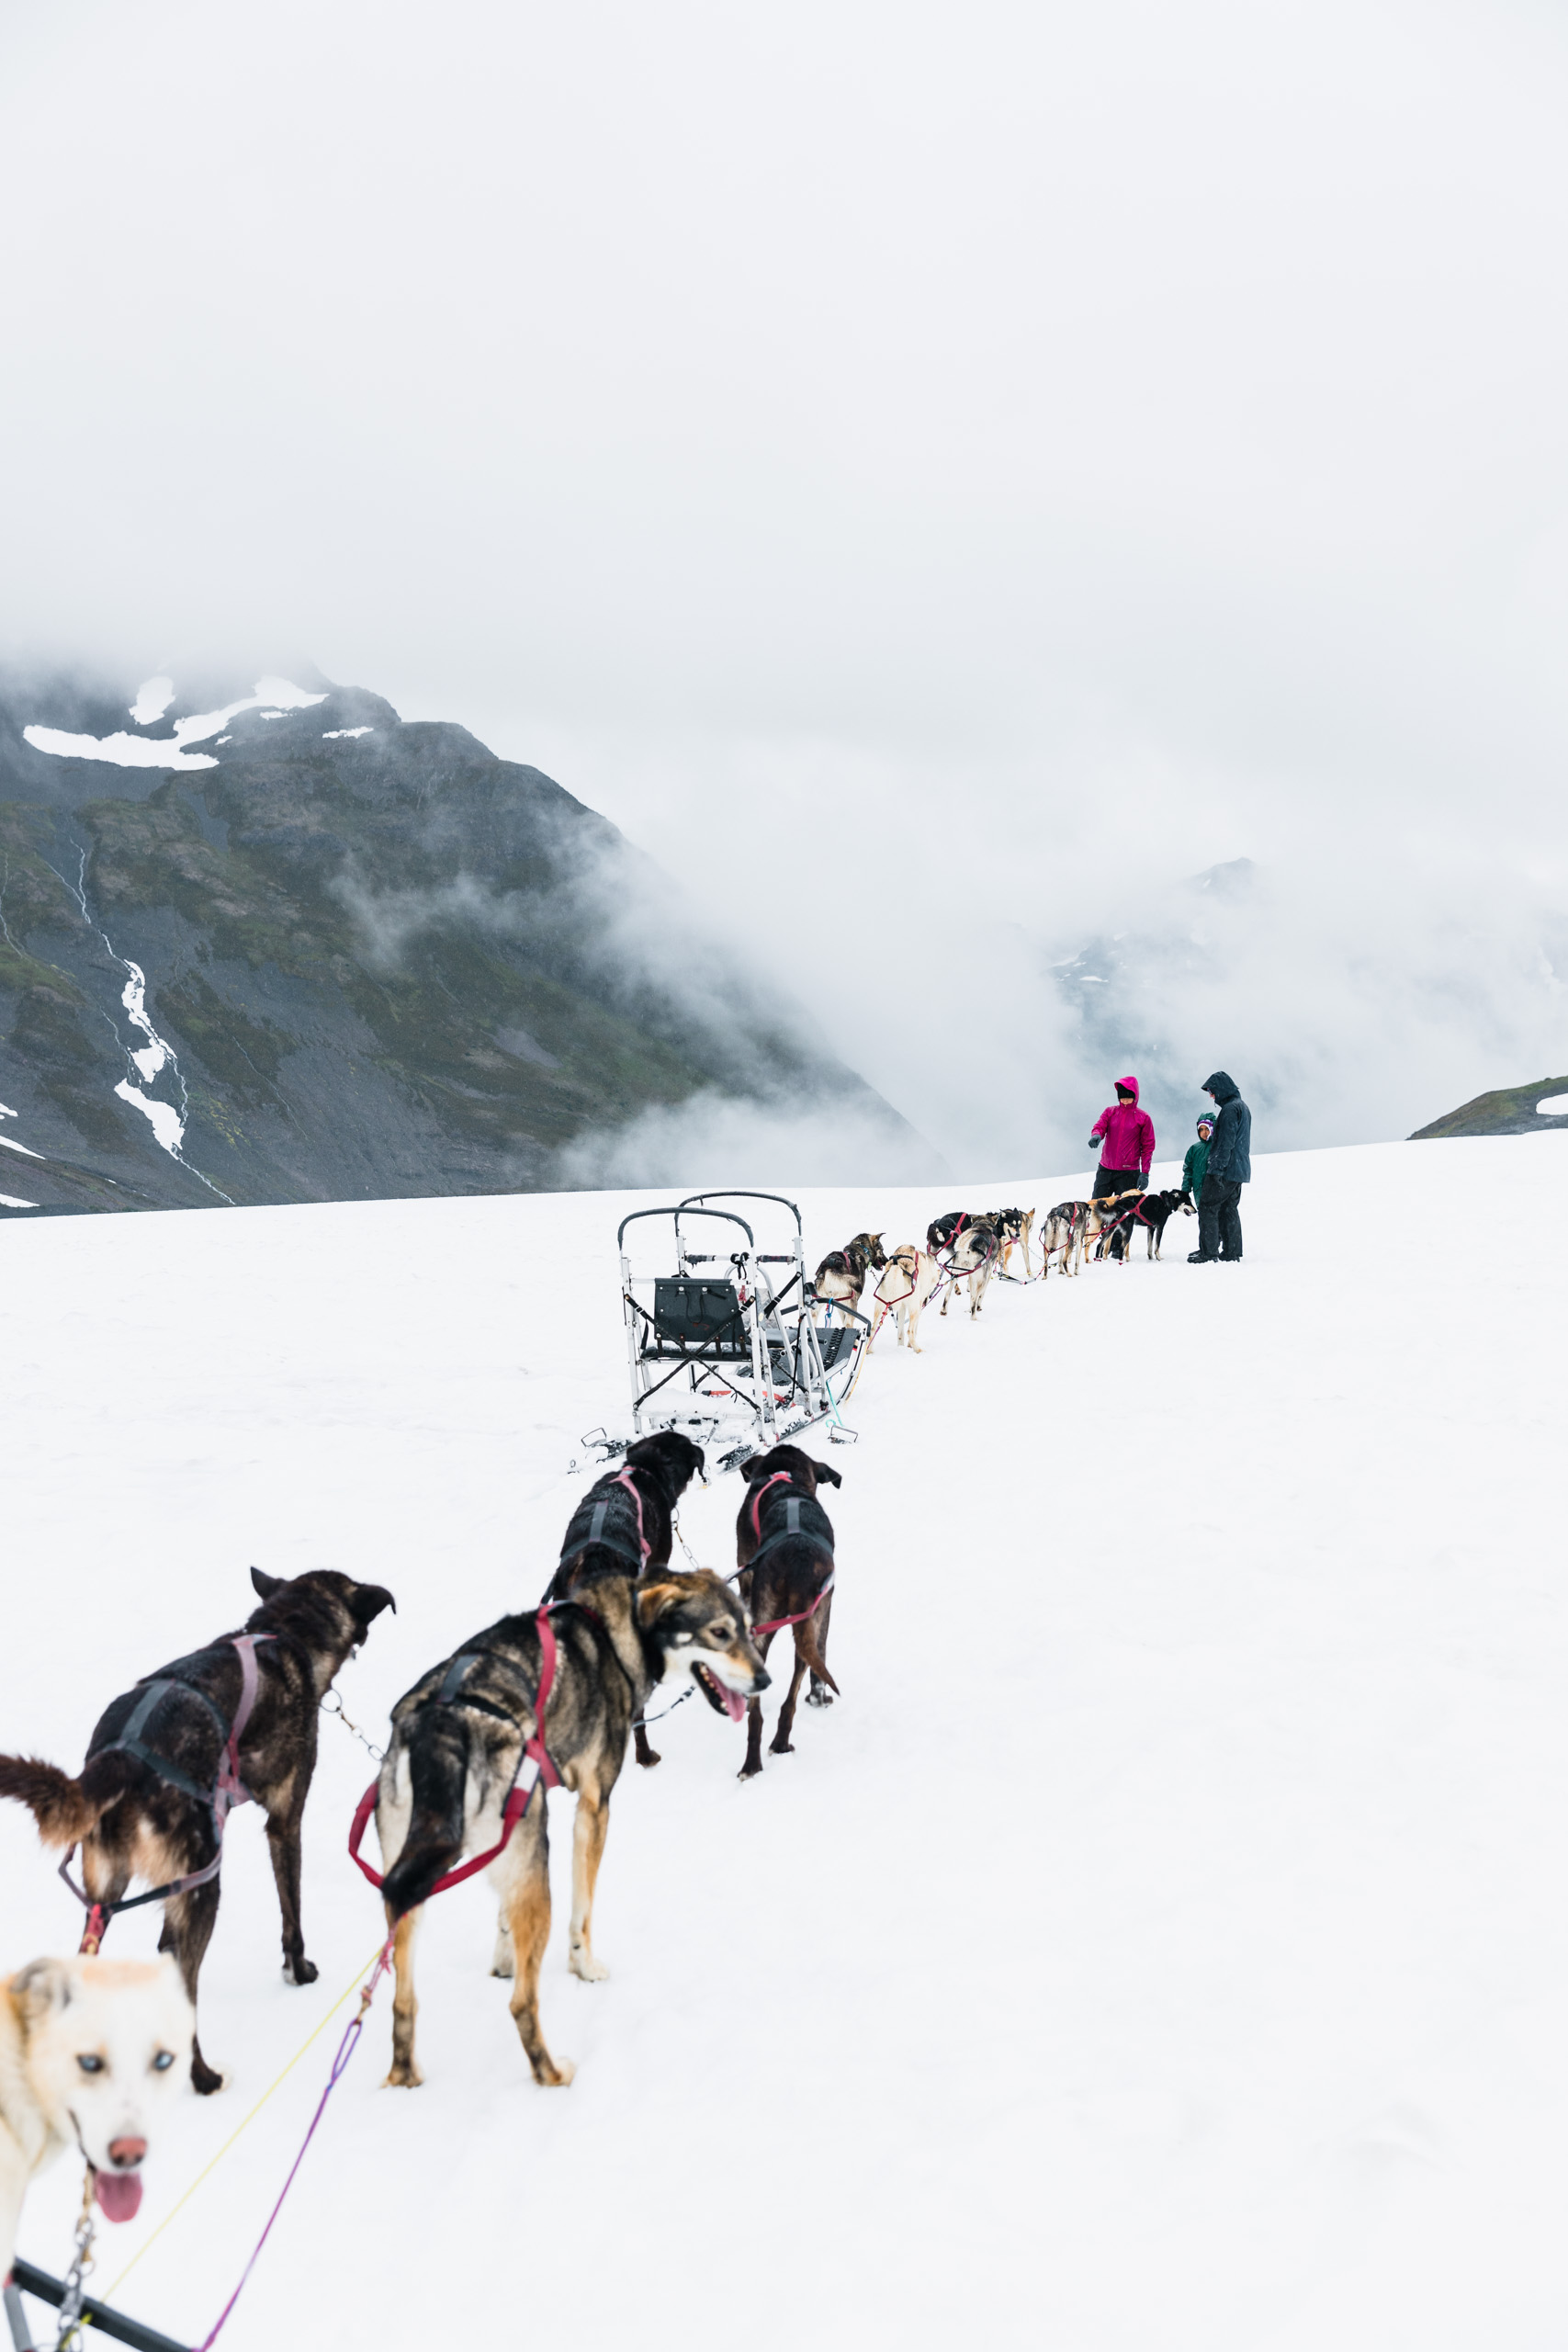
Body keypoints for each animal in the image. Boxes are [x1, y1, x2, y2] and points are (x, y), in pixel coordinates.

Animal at [0, 1561, 400, 2098]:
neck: (282, 1632)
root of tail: (120, 1756)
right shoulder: (285, 1820)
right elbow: (291, 1915)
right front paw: (299, 1972)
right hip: (205, 1879)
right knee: (185, 1986)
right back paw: (203, 2076)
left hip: (105, 1894)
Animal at [368, 1571, 771, 2088]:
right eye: (719, 1633)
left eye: (748, 1628)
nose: (765, 1680)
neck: (620, 1629)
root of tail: (445, 1721)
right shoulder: (594, 1808)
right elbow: (584, 1910)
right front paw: (584, 1966)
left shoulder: (510, 1858)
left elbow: (503, 1917)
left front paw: (503, 1959)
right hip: (534, 1872)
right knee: (522, 2002)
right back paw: (552, 2073)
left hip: (412, 1885)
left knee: (402, 2002)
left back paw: (405, 2075)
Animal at [738, 1430, 846, 1778]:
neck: (787, 1481)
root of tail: (797, 1561)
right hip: (804, 1619)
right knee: (791, 1695)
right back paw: (776, 1746)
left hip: (779, 1623)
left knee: (767, 1710)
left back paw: (757, 1759)